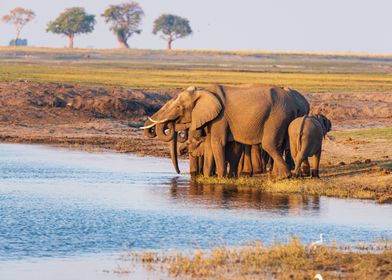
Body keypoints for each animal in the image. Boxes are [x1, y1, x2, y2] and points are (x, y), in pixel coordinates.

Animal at [141, 84, 310, 178]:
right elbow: (210, 144)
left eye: (178, 107)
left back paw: (285, 176)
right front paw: (208, 177)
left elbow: (217, 142)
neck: (203, 92)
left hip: (276, 116)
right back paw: (279, 175)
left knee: (269, 144)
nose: (177, 173)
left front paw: (221, 178)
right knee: (281, 144)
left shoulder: (220, 117)